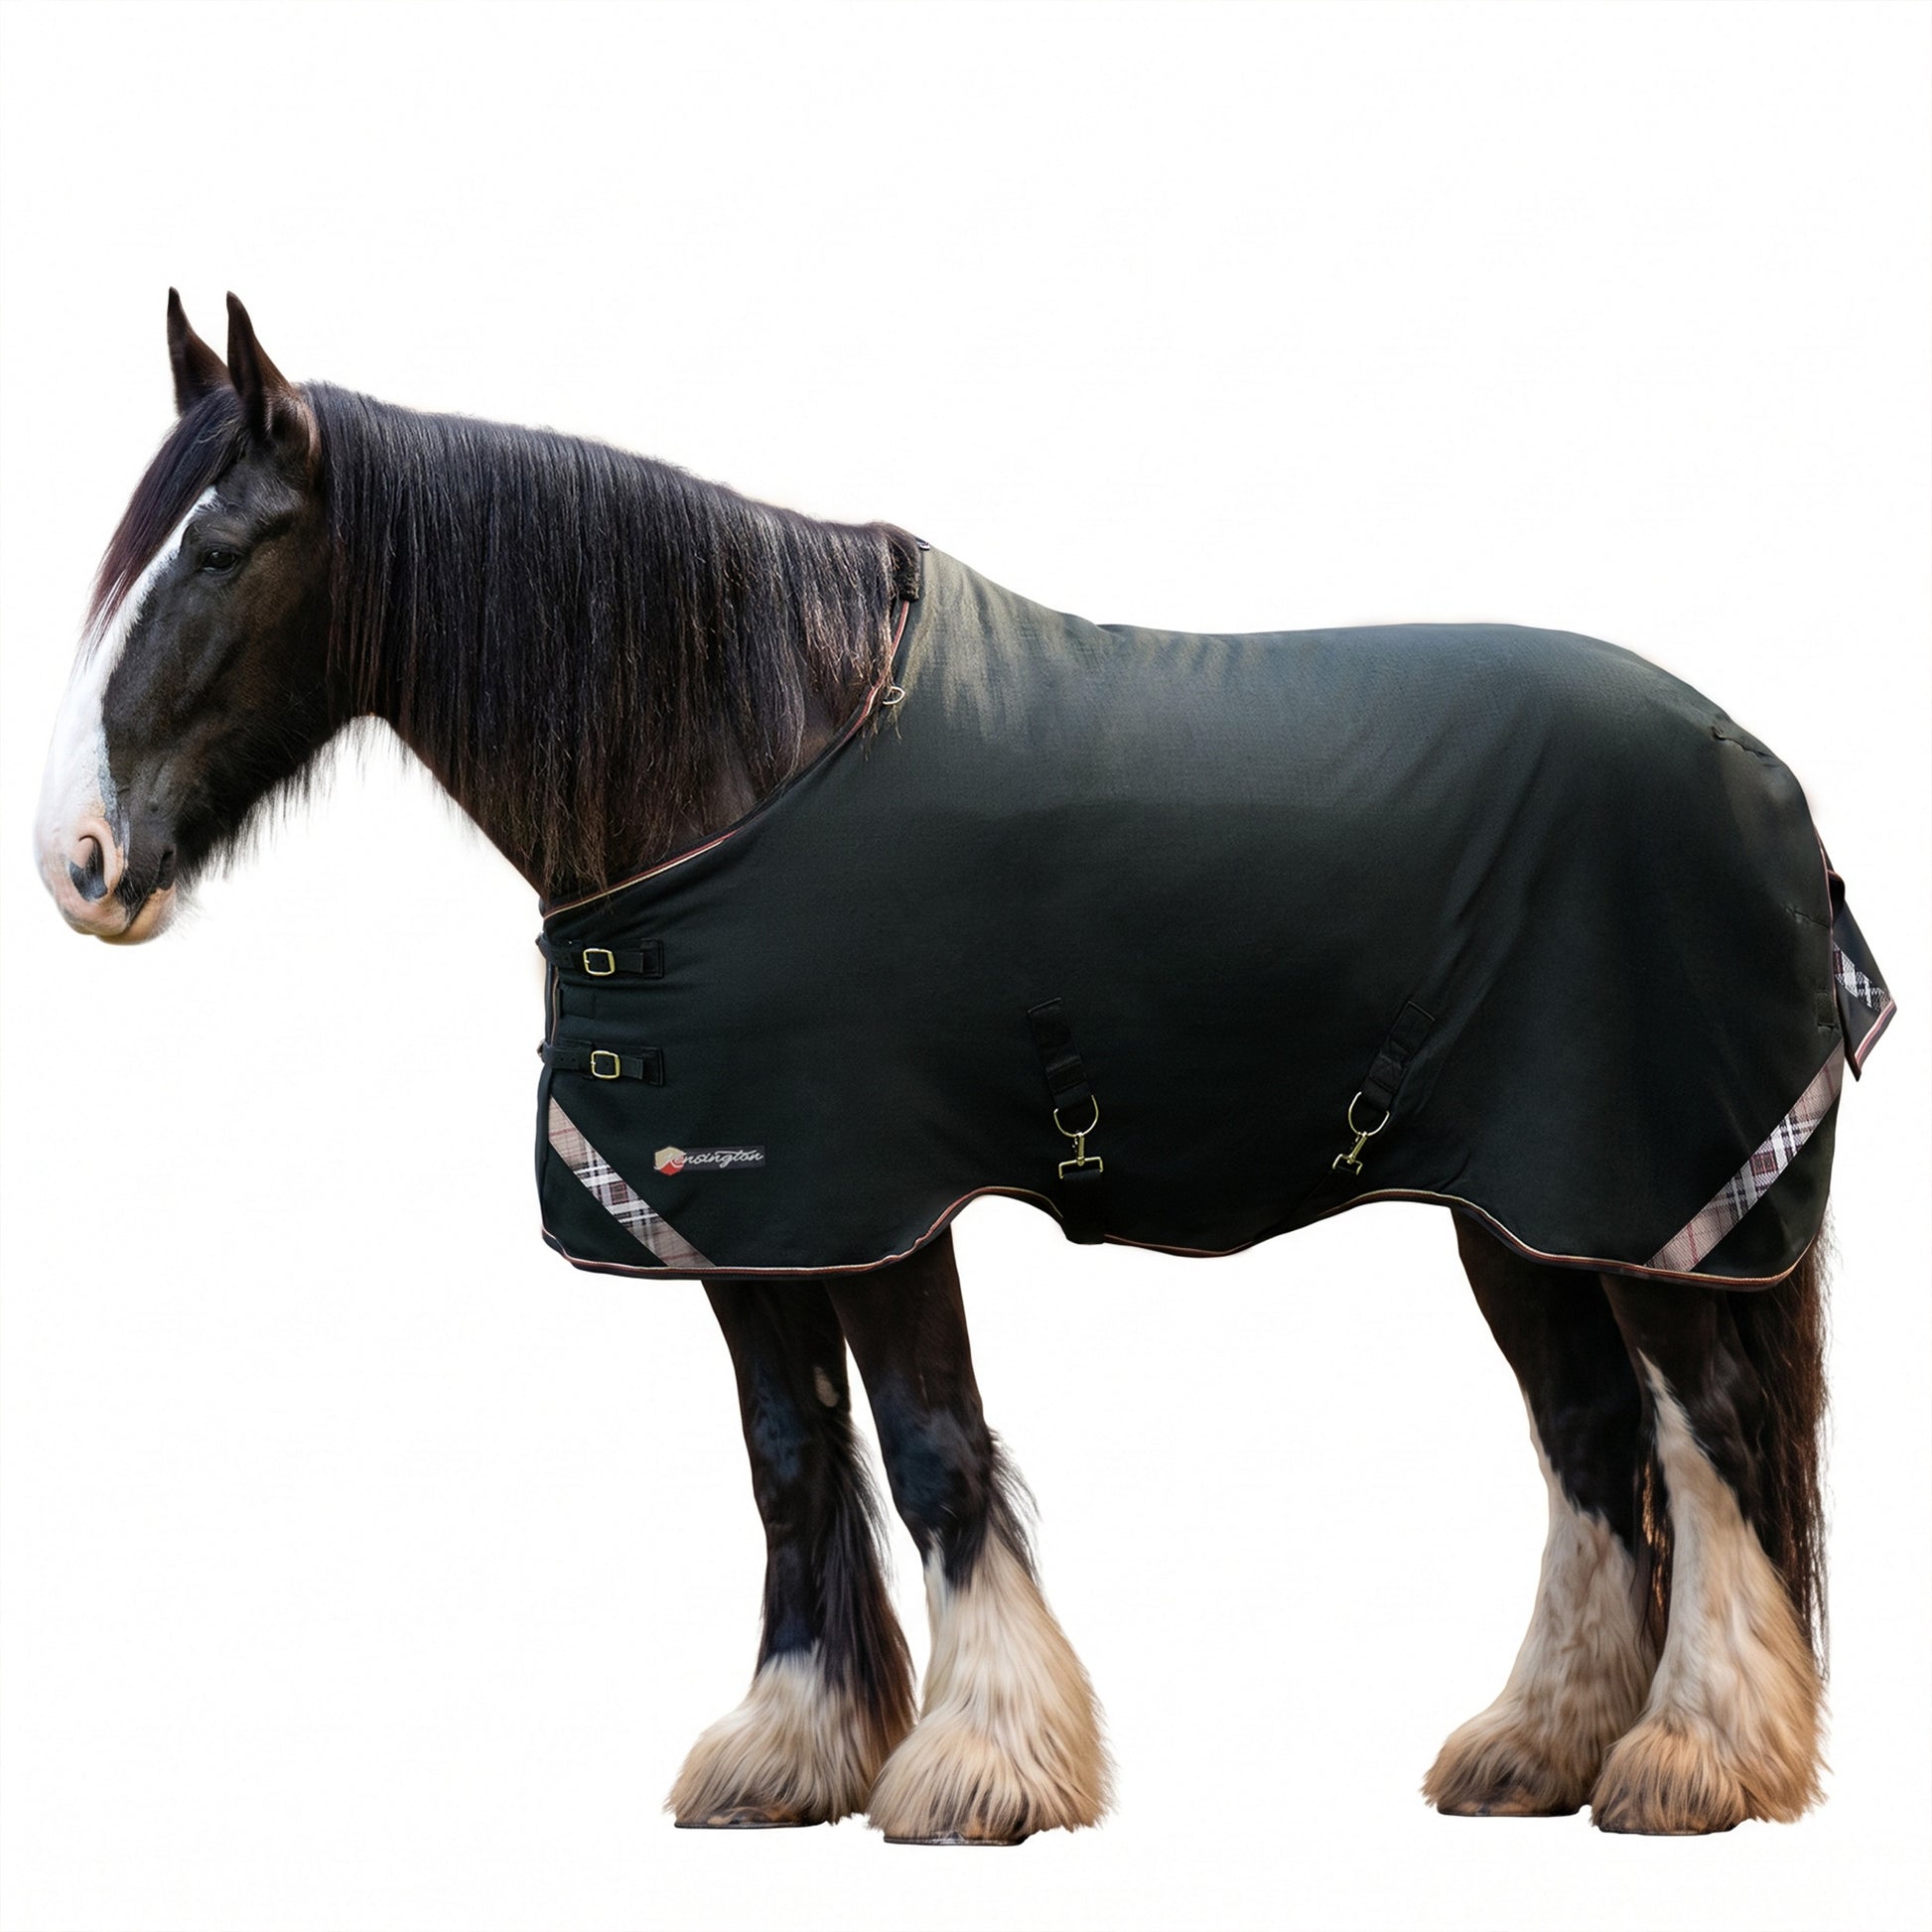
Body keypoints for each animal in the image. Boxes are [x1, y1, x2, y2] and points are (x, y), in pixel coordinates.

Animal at [34, 293, 1892, 1843]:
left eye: (221, 552)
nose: (78, 863)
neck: (748, 750)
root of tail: (1765, 777)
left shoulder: (881, 1203)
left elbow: (932, 1444)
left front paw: (981, 1766)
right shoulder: (745, 1220)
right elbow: (789, 1457)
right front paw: (788, 1752)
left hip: (1644, 1203)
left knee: (1705, 1431)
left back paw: (1693, 1759)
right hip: (1517, 1211)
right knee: (1592, 1439)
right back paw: (1539, 1746)